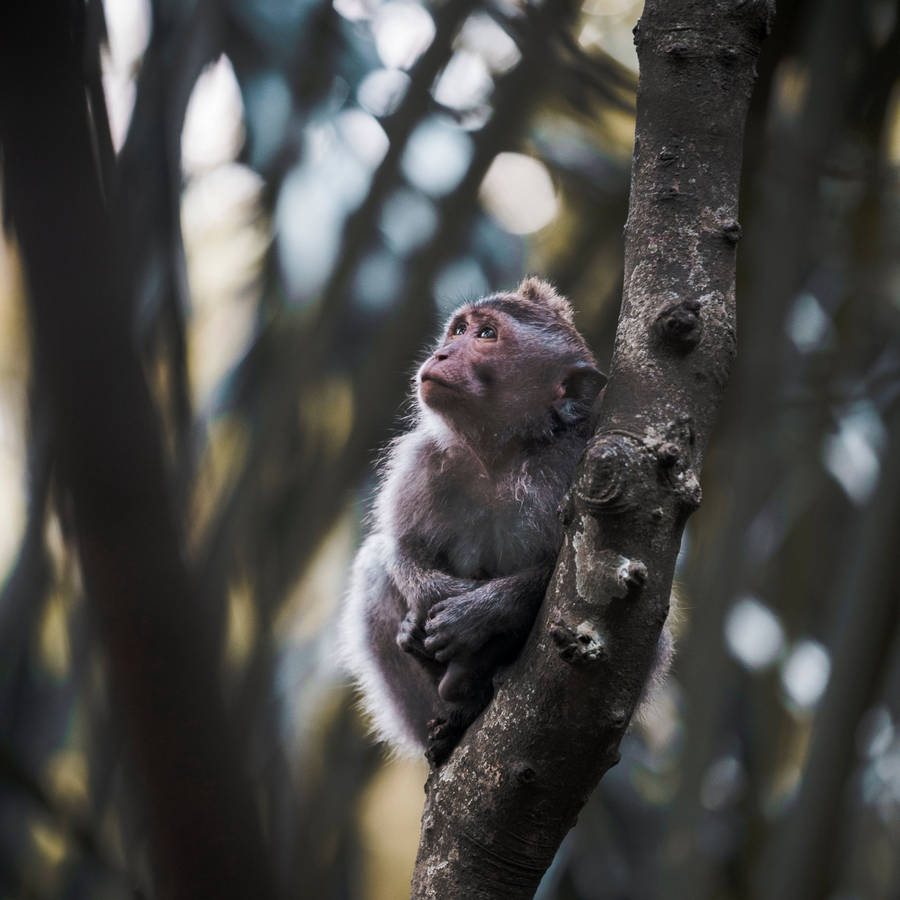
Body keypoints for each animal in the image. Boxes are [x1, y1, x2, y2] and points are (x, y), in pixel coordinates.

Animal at [342, 278, 672, 764]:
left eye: (486, 335)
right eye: (458, 330)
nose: (442, 354)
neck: (498, 454)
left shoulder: (572, 464)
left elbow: (574, 573)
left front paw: (478, 614)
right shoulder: (422, 461)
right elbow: (402, 548)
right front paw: (432, 596)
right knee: (374, 570)